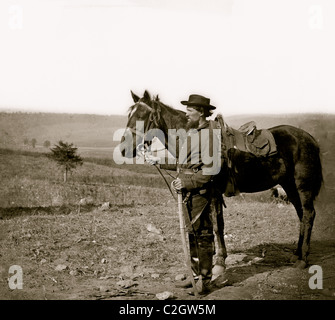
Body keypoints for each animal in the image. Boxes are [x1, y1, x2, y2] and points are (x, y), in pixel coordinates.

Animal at [121, 90, 322, 268]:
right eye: (129, 114)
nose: (124, 149)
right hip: (289, 185)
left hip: (303, 186)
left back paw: (303, 259)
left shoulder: (214, 191)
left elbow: (218, 225)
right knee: (301, 214)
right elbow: (213, 225)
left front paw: (219, 259)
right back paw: (296, 253)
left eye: (142, 115)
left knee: (309, 214)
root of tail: (310, 138)